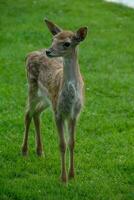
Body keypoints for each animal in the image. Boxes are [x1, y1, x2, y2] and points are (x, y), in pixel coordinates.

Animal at [21, 19, 87, 183]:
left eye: (67, 43)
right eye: (53, 39)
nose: (48, 51)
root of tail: (29, 54)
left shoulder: (74, 114)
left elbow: (72, 143)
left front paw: (72, 175)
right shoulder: (58, 113)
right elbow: (62, 144)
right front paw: (63, 179)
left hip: (47, 99)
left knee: (36, 114)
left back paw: (40, 151)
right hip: (32, 87)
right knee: (27, 113)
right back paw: (24, 151)